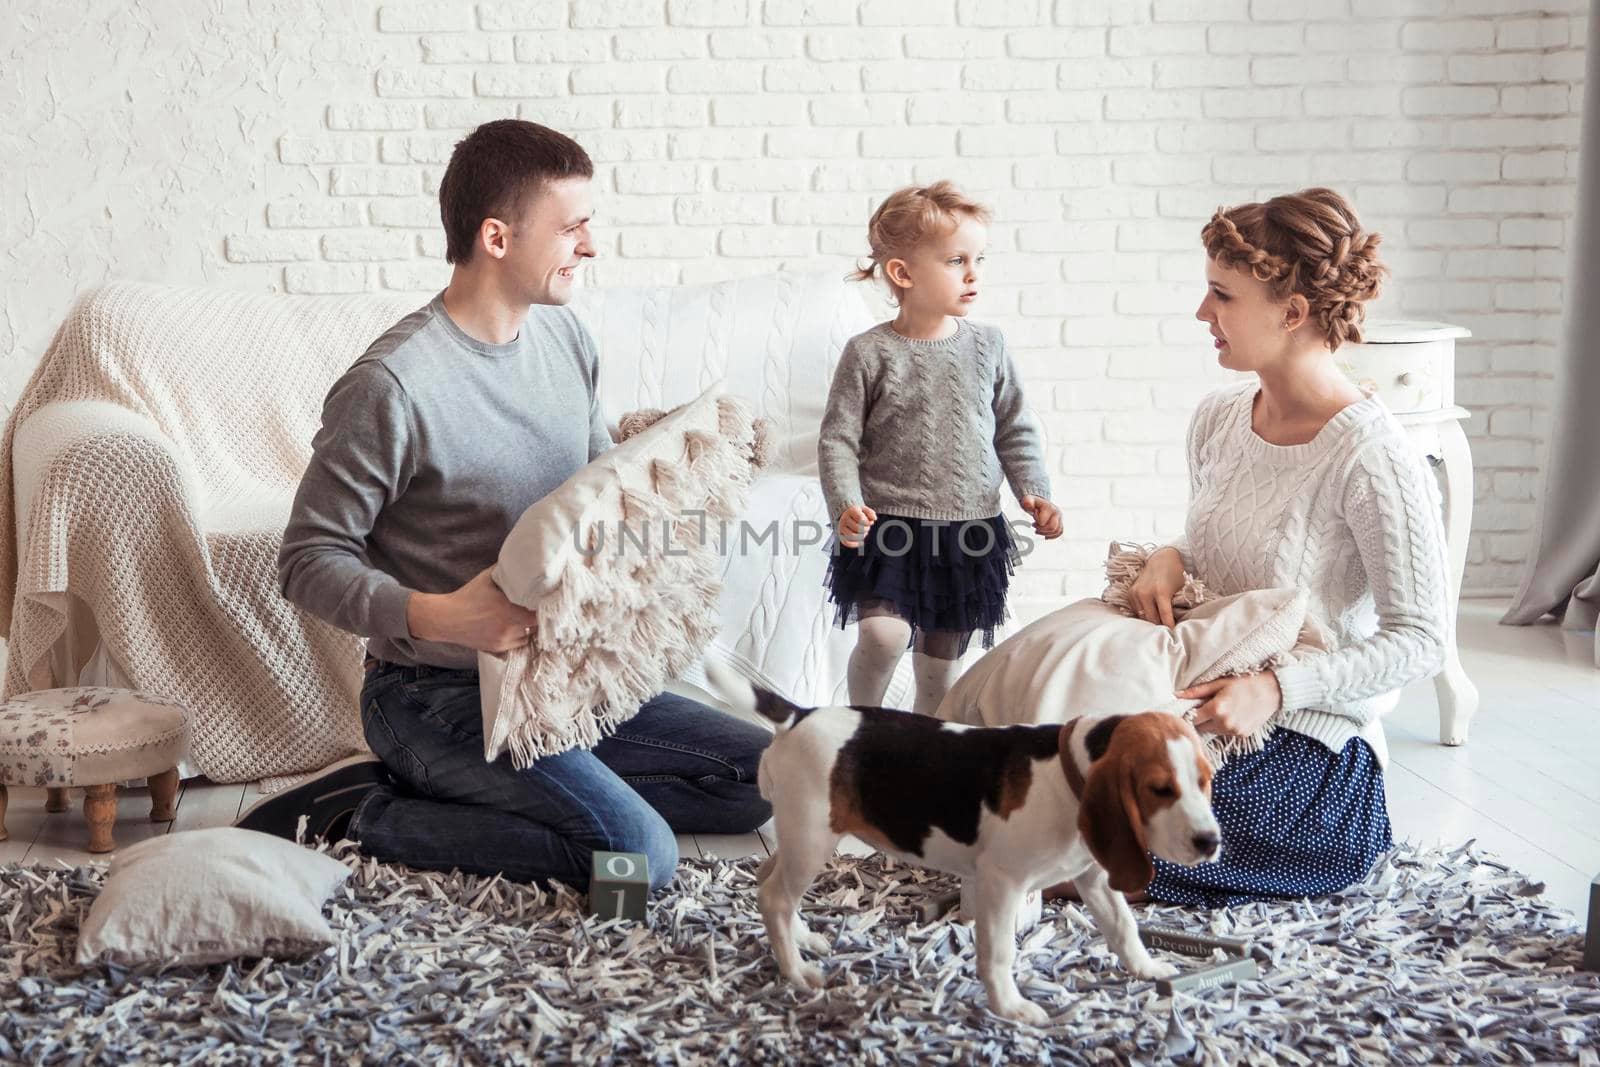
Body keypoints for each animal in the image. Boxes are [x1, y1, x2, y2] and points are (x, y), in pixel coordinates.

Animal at [707, 668, 1216, 1023]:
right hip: (812, 838)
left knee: (766, 879)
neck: (1068, 774)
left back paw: (802, 938)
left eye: (1206, 781)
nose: (1210, 842)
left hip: (801, 838)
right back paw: (796, 972)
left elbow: (1124, 927)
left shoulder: (1094, 877)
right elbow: (1000, 951)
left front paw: (1148, 970)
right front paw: (1011, 1008)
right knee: (775, 897)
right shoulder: (1002, 882)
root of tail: (800, 714)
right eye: (1159, 789)